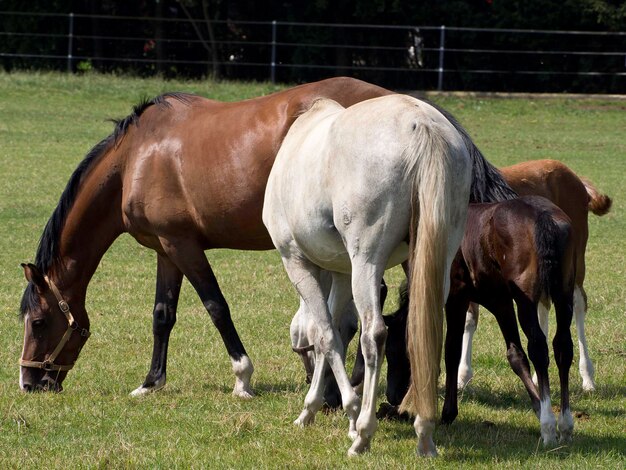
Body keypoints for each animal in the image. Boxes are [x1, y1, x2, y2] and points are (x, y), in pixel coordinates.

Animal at [20, 76, 516, 396]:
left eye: (39, 322)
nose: (29, 382)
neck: (136, 159)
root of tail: (412, 108)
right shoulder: (167, 249)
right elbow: (163, 314)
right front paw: (151, 382)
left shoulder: (184, 246)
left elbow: (216, 307)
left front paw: (243, 377)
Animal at [260, 93, 470, 458]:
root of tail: (420, 124)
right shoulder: (341, 272)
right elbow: (327, 334)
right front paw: (312, 410)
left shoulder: (298, 263)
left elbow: (326, 335)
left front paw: (348, 412)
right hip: (436, 260)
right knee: (426, 331)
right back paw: (424, 434)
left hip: (367, 262)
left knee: (375, 335)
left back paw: (364, 434)